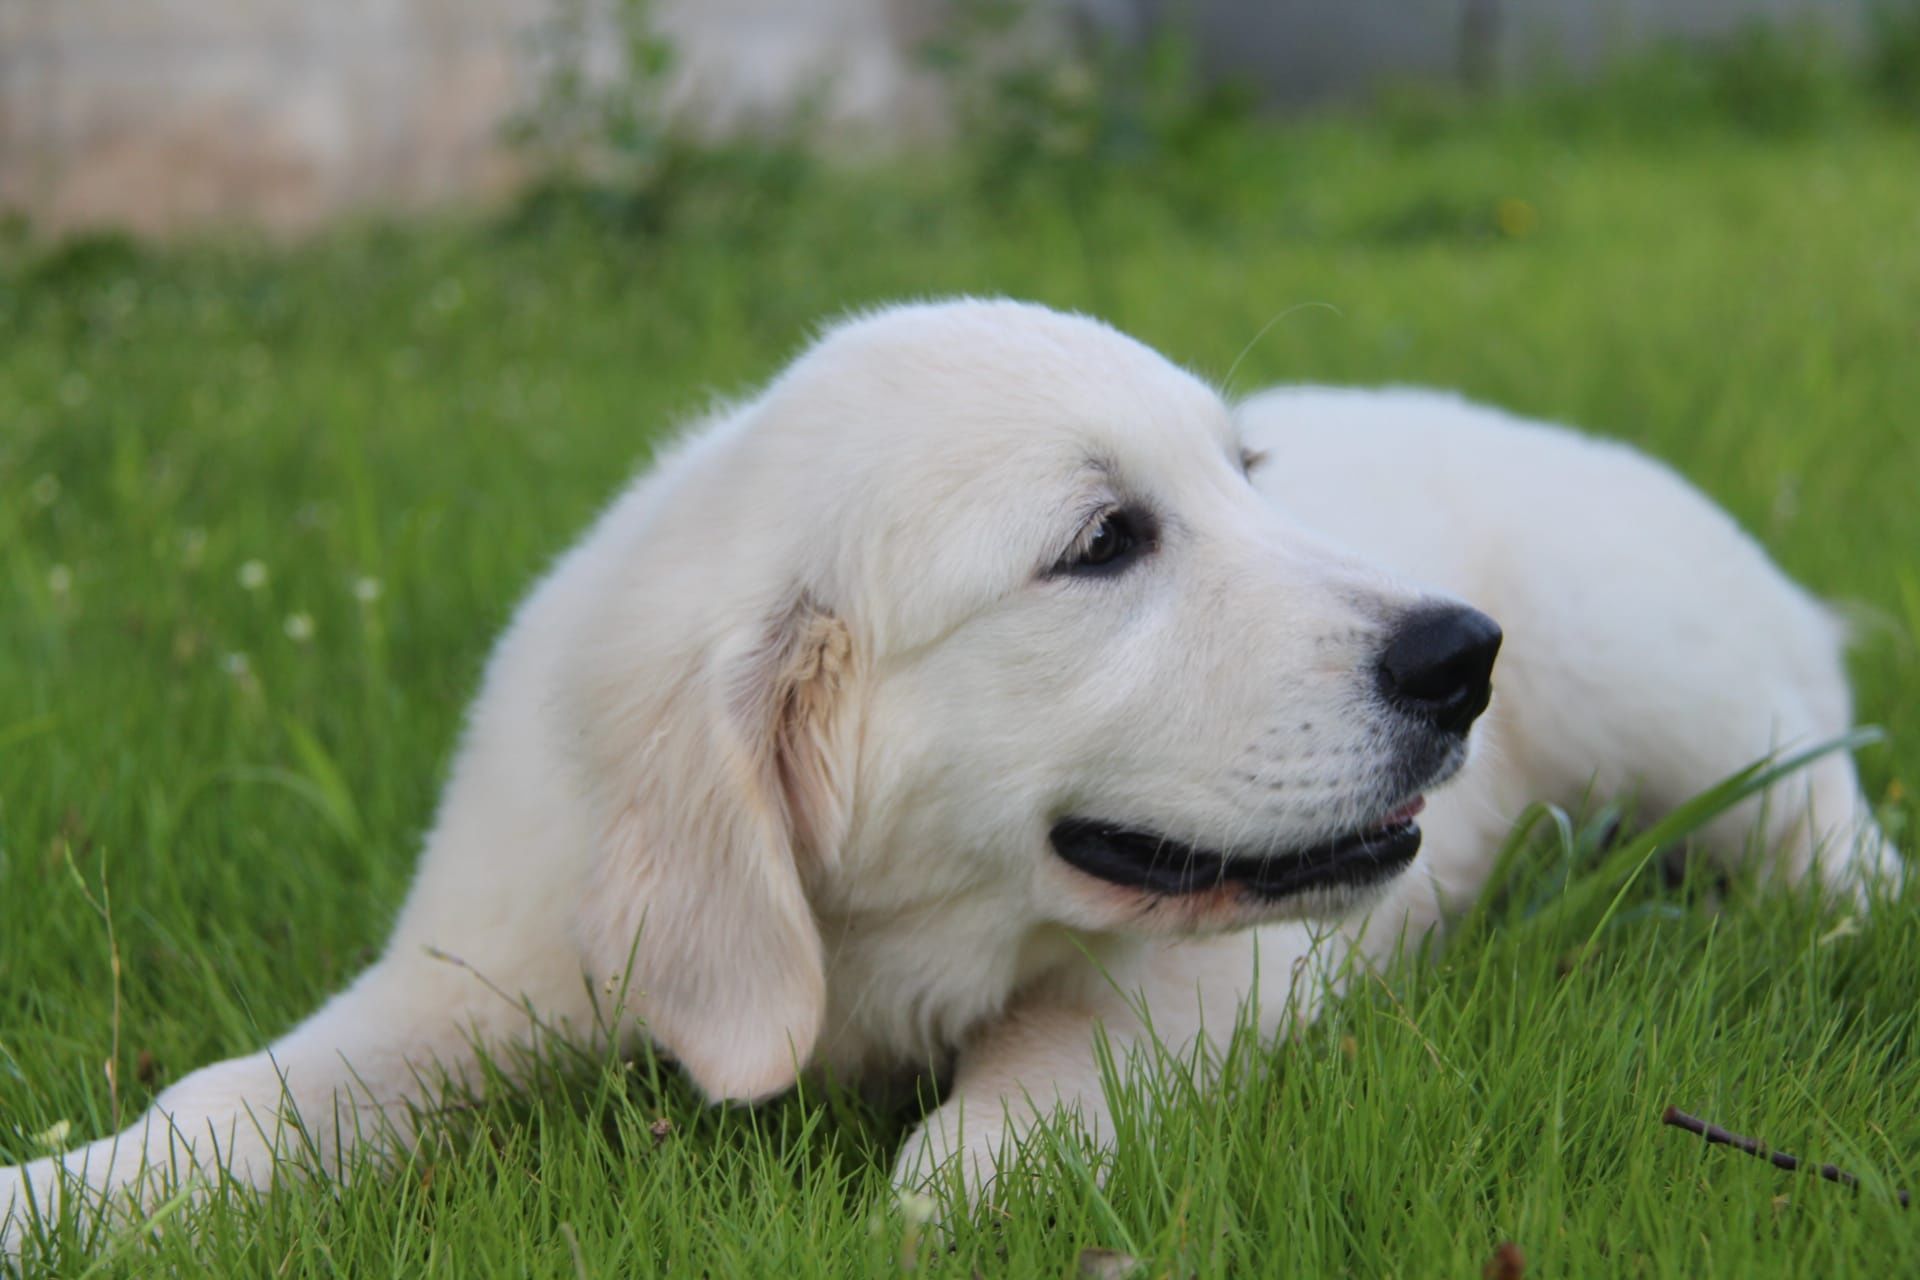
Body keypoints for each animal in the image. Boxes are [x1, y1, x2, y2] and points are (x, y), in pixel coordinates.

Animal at [0, 297, 1896, 1251]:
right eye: (1105, 542)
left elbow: (1034, 1086)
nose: (1459, 656)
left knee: (1828, 820)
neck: (860, 946)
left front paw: (938, 1198)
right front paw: (63, 1200)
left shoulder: (1217, 970)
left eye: (1248, 478)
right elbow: (246, 1095)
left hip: (1681, 681)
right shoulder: (481, 955)